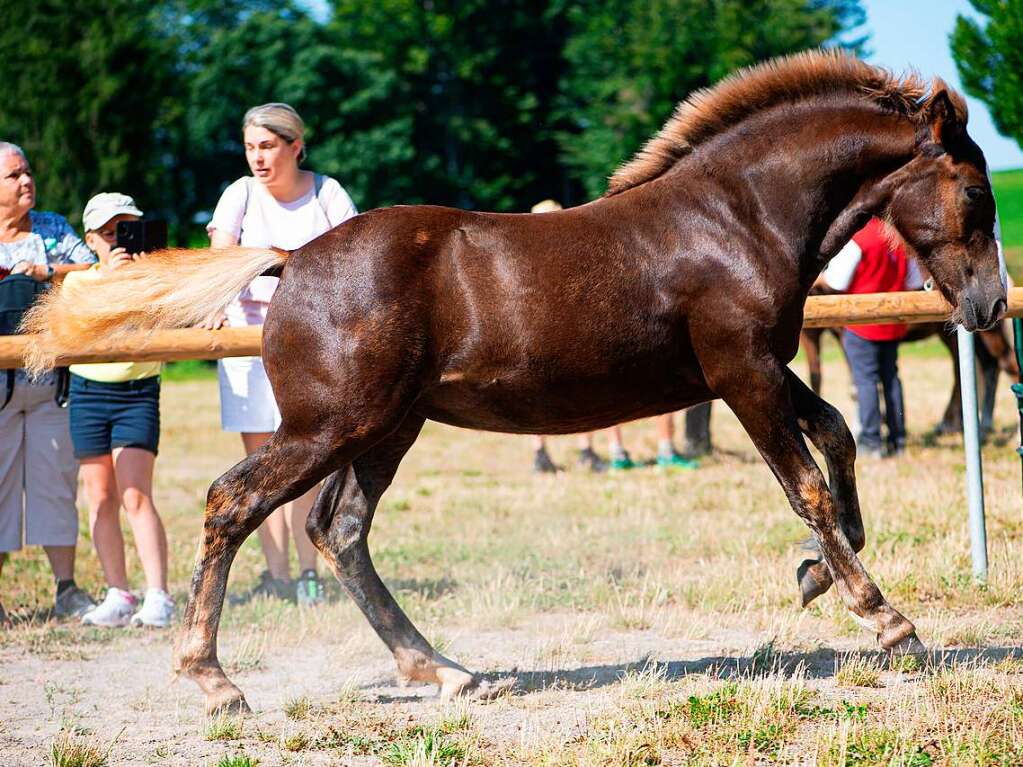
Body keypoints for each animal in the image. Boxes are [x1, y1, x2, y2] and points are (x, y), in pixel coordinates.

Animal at [25, 49, 1006, 715]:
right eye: (973, 193)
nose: (990, 303)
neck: (734, 216)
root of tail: (290, 258)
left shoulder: (757, 366)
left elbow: (837, 433)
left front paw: (812, 571)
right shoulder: (740, 372)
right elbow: (805, 481)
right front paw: (884, 617)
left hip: (385, 428)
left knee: (338, 530)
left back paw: (443, 669)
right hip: (330, 425)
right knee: (236, 502)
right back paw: (214, 677)